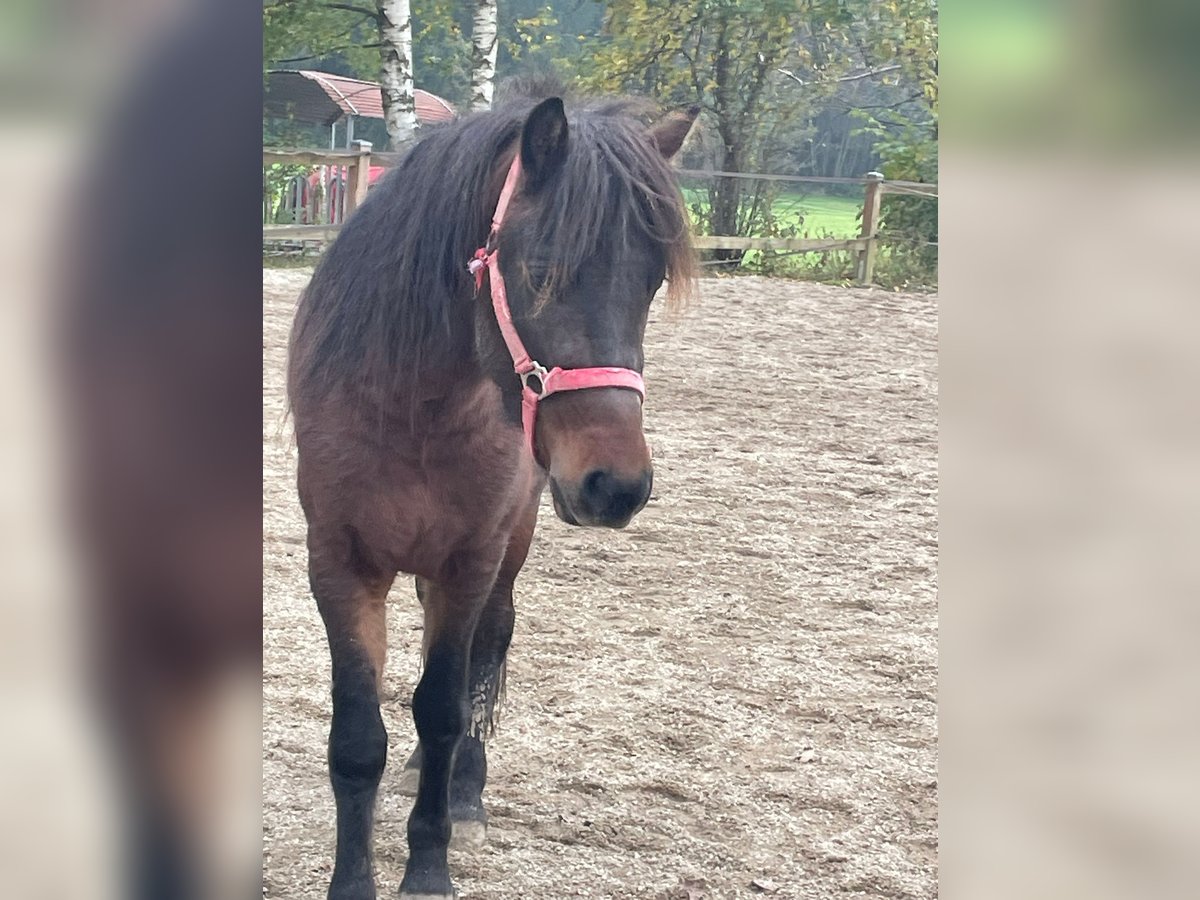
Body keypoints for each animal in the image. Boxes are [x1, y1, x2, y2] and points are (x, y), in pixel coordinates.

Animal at [289, 86, 700, 900]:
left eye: (650, 283)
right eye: (540, 270)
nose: (618, 486)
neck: (412, 413)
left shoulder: (470, 561)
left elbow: (445, 708)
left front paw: (429, 866)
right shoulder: (340, 564)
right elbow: (357, 735)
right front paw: (353, 879)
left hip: (512, 545)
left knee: (488, 650)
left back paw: (465, 794)